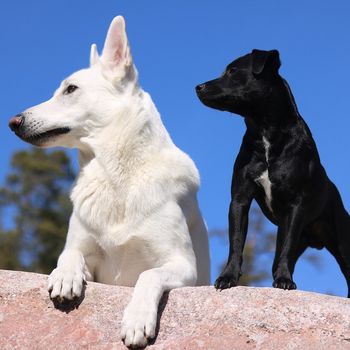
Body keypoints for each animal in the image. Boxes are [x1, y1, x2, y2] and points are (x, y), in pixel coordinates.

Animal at [8, 15, 211, 348]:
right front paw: (65, 275)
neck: (115, 177)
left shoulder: (182, 266)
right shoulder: (87, 256)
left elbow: (149, 275)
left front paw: (137, 319)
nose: (13, 122)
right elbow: (69, 254)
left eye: (70, 89)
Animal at [196, 49, 350, 296]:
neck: (265, 130)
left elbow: (287, 246)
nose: (198, 87)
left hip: (342, 242)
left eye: (233, 71)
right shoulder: (239, 199)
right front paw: (228, 277)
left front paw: (285, 280)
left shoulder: (296, 205)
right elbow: (236, 242)